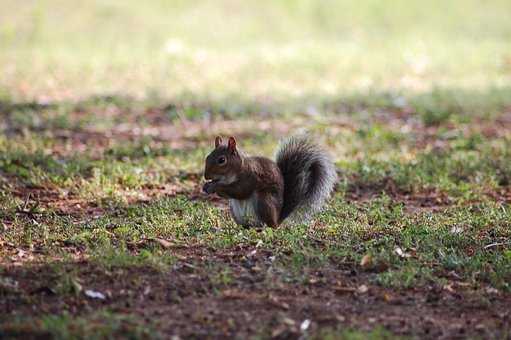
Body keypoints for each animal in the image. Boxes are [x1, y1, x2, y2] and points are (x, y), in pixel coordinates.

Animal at [202, 134, 338, 227]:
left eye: (222, 160)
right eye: (207, 156)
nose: (206, 176)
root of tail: (278, 218)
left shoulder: (250, 177)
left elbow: (240, 191)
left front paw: (214, 186)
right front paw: (207, 185)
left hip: (264, 201)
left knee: (270, 225)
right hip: (235, 210)